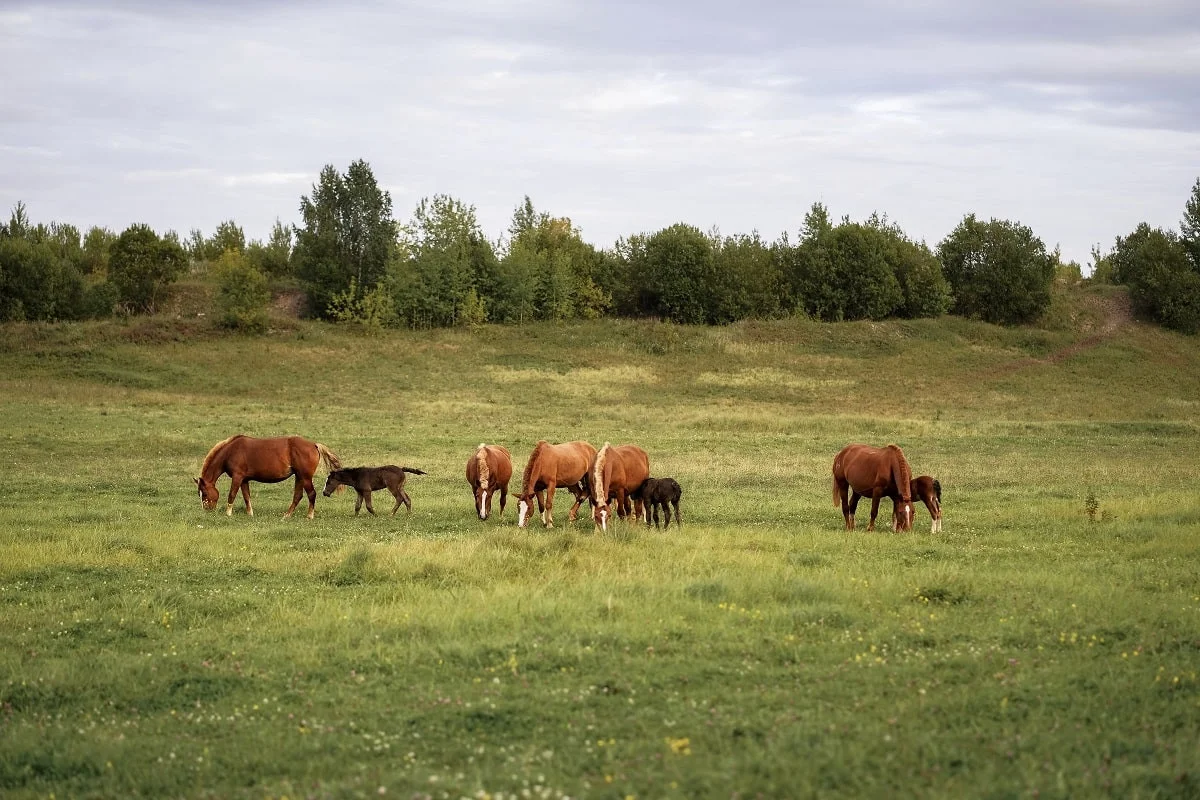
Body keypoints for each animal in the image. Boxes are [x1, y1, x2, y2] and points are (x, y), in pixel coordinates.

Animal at [194, 438, 340, 520]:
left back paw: (310, 516)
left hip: (305, 477)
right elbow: (246, 497)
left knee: (311, 494)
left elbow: (232, 495)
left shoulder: (237, 477)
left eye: (204, 493)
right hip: (299, 477)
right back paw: (286, 516)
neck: (231, 451)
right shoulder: (244, 480)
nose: (207, 509)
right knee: (297, 496)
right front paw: (250, 514)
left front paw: (228, 513)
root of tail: (314, 445)